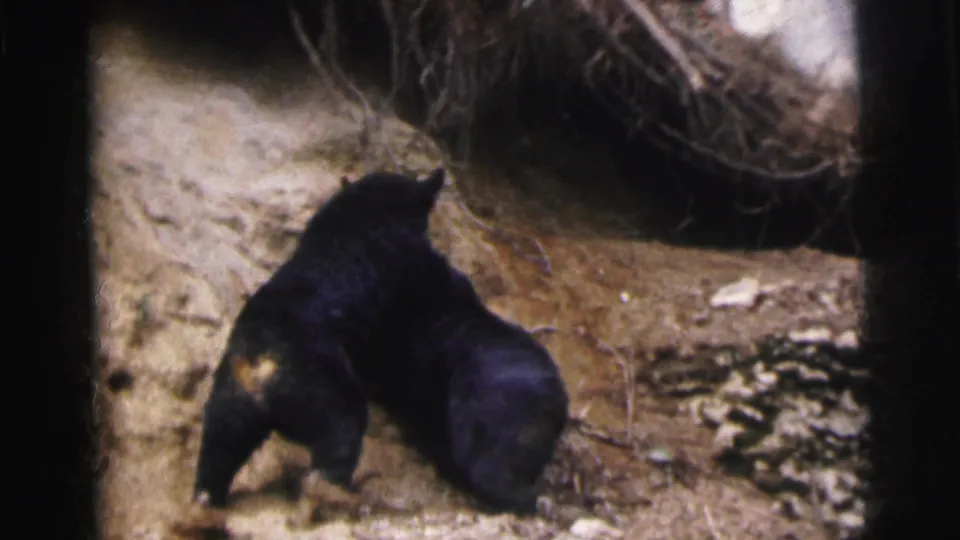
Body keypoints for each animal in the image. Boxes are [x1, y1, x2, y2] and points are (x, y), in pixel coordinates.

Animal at [186, 169, 451, 532]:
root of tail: (262, 363)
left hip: (230, 403)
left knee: (216, 457)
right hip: (326, 393)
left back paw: (203, 513)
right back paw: (340, 500)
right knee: (337, 443)